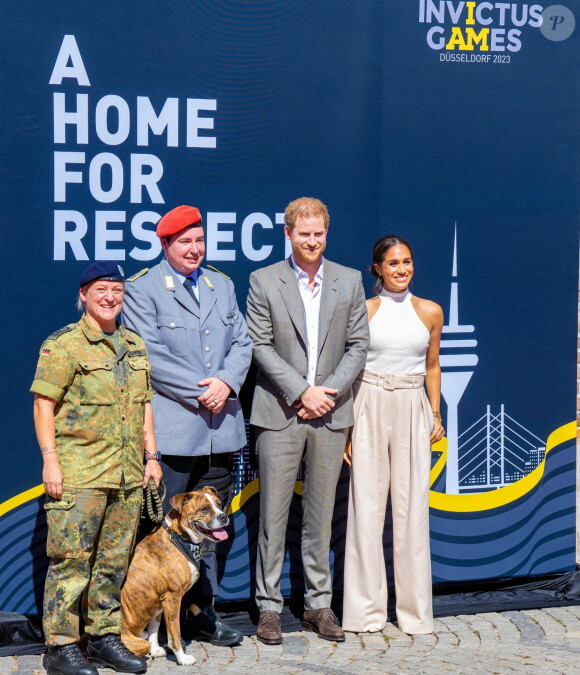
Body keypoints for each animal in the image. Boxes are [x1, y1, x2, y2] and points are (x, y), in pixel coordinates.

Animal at [122, 488, 229, 668]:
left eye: (219, 505)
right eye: (204, 509)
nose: (224, 516)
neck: (179, 537)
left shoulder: (159, 603)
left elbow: (154, 628)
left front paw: (156, 650)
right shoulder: (172, 598)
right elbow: (175, 633)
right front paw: (182, 658)